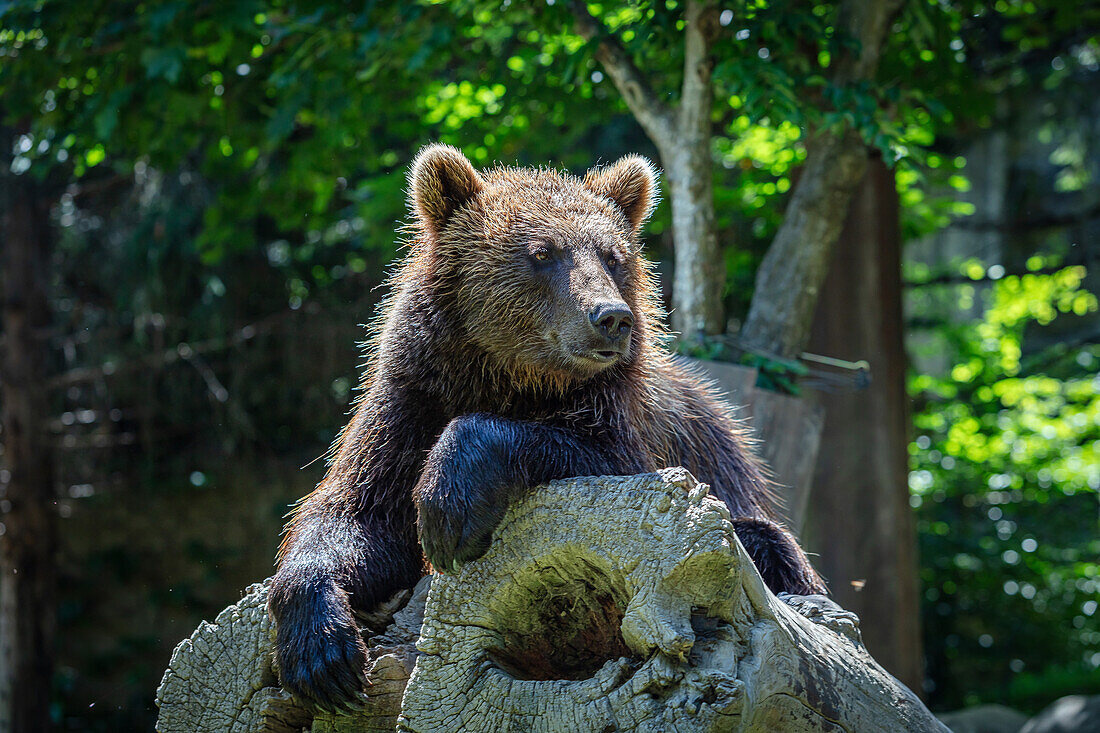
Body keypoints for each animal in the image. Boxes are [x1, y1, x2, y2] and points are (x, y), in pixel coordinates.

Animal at [270, 143, 827, 708]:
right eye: (542, 252)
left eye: (612, 256)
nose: (612, 317)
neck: (512, 376)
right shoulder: (413, 399)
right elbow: (361, 513)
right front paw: (322, 654)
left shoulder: (622, 418)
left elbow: (597, 455)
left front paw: (448, 508)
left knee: (764, 543)